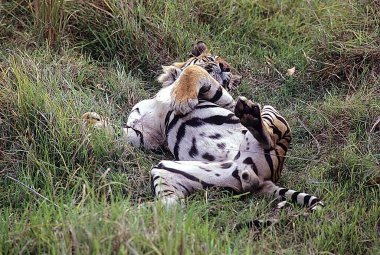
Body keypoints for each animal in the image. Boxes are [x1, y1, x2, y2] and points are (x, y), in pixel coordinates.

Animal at [81, 42, 322, 211]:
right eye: (213, 57)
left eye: (228, 76)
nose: (227, 67)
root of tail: (266, 179)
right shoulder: (148, 136)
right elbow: (120, 131)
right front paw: (89, 119)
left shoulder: (225, 100)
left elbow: (194, 72)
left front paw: (181, 100)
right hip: (171, 169)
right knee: (172, 206)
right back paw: (131, 213)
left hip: (271, 114)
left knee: (269, 135)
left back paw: (250, 115)